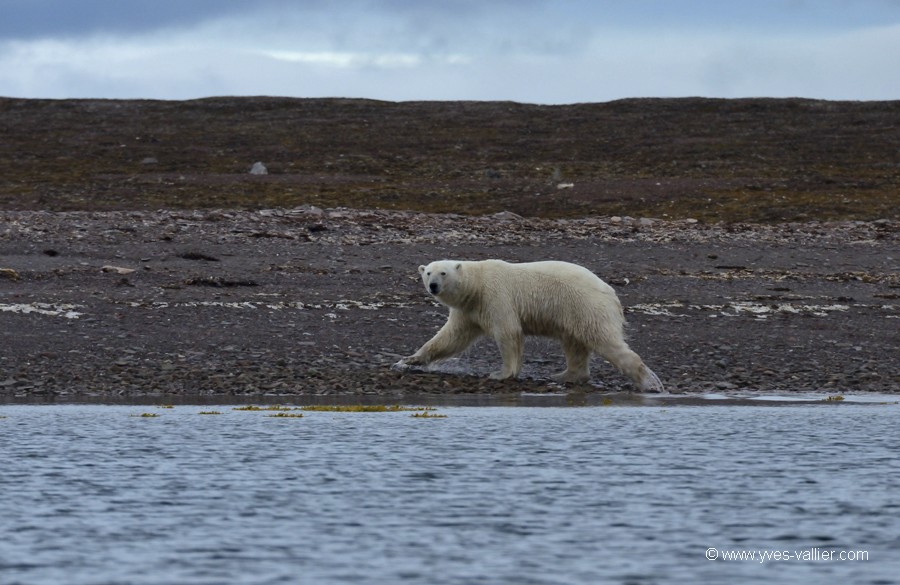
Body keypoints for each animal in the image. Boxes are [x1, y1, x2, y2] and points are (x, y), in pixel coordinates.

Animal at [398, 256, 664, 390]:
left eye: (443, 273)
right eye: (427, 273)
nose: (433, 286)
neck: (477, 285)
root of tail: (611, 292)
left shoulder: (496, 296)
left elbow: (508, 332)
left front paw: (501, 373)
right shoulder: (469, 309)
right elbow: (450, 337)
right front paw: (408, 360)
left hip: (585, 306)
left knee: (604, 341)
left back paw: (649, 381)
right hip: (573, 313)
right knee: (574, 344)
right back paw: (565, 375)